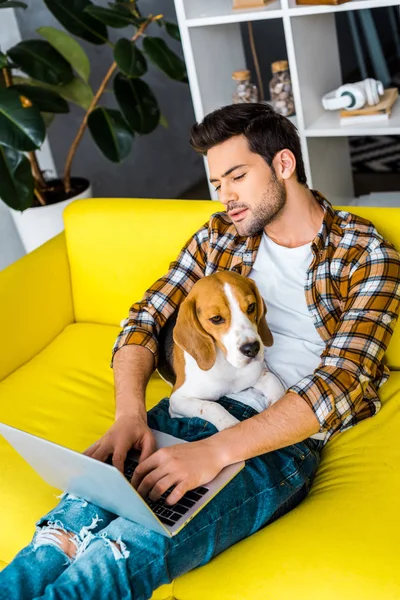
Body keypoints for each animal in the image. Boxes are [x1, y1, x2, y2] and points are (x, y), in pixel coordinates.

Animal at [156, 270, 284, 432]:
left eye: (251, 307)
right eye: (216, 318)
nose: (252, 349)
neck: (228, 364)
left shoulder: (256, 374)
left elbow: (273, 380)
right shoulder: (178, 399)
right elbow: (212, 406)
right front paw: (233, 426)